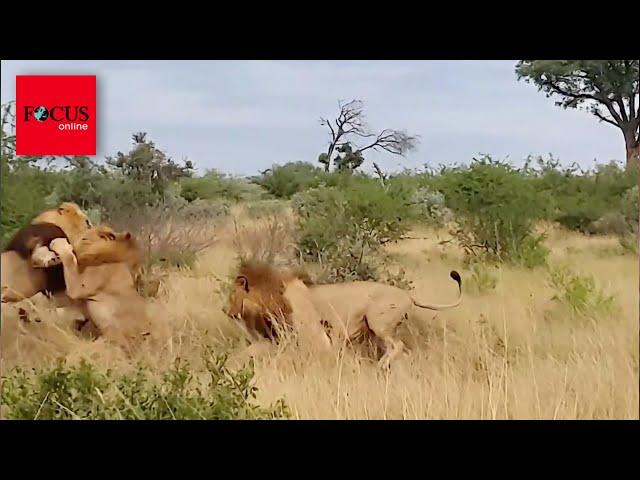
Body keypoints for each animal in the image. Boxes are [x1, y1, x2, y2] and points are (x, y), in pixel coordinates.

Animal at [222, 262, 462, 368]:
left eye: (232, 293)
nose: (225, 310)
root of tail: (408, 294)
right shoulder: (275, 337)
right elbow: (248, 352)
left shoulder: (314, 335)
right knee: (404, 352)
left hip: (378, 323)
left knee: (398, 346)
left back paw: (380, 366)